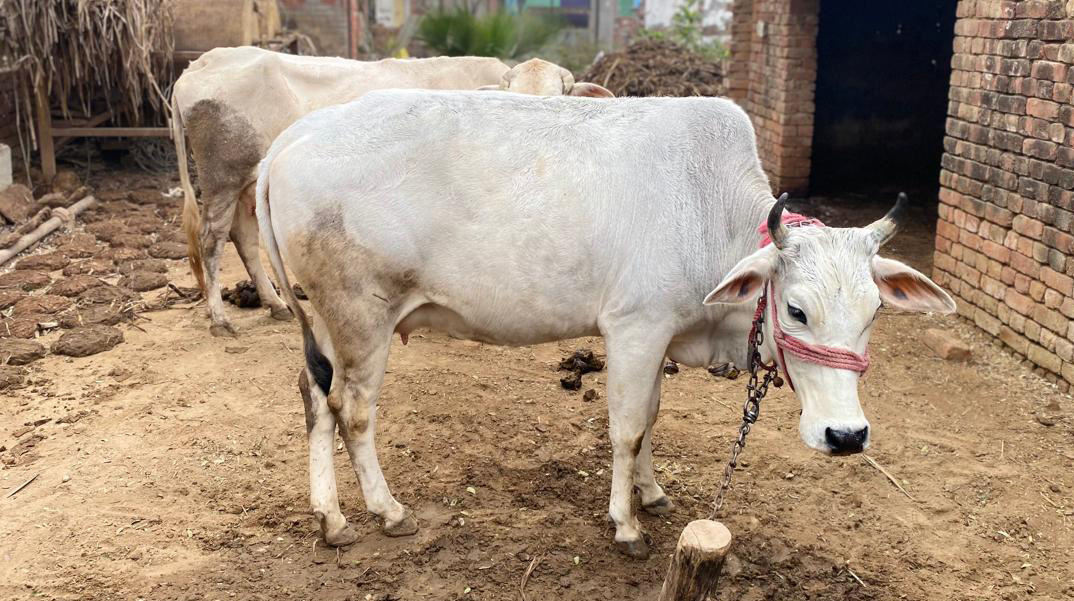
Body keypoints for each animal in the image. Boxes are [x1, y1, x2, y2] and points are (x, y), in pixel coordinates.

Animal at [172, 47, 612, 337]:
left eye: (561, 98)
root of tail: (200, 65)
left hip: (246, 182)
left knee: (243, 237)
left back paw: (275, 304)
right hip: (222, 178)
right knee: (212, 240)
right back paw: (220, 319)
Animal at [255, 90, 956, 558]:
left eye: (873, 313)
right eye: (796, 310)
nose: (847, 435)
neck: (711, 213)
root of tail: (286, 142)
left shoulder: (661, 336)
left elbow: (649, 420)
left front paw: (652, 494)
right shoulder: (634, 329)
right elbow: (625, 428)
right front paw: (626, 524)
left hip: (325, 319)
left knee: (316, 396)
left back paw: (331, 518)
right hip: (361, 315)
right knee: (353, 410)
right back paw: (386, 510)